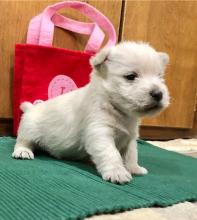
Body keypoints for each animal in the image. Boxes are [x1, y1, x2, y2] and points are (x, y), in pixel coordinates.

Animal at [12, 41, 169, 184]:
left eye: (159, 77)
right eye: (131, 76)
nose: (158, 94)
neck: (119, 109)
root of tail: (31, 107)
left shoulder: (130, 137)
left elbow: (131, 154)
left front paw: (134, 168)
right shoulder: (99, 131)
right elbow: (111, 153)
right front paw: (117, 172)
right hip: (29, 129)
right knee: (22, 141)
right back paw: (23, 152)